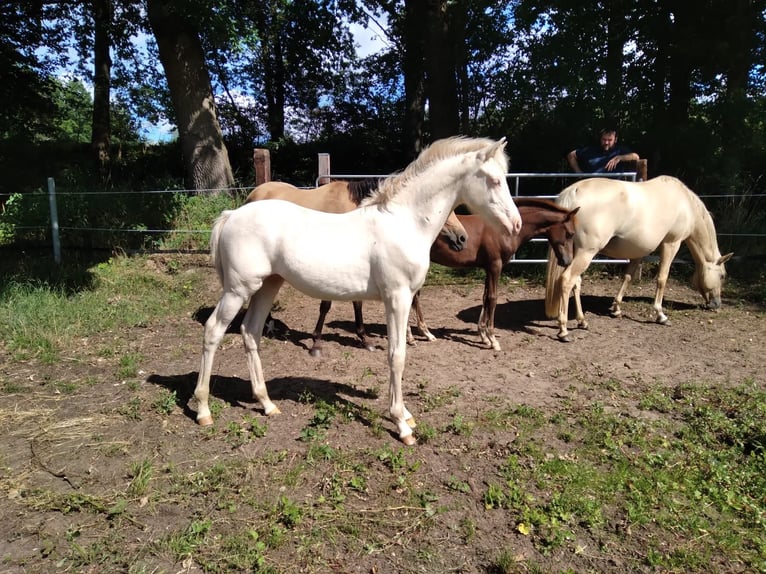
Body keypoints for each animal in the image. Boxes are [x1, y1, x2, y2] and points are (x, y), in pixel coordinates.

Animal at [244, 180, 468, 360]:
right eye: (445, 210)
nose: (462, 238)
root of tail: (254, 193)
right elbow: (326, 305)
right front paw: (316, 343)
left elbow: (358, 303)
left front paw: (364, 338)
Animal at [412, 198, 580, 352]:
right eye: (570, 234)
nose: (567, 261)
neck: (502, 230)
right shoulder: (495, 266)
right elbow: (493, 299)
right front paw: (493, 340)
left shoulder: (488, 268)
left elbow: (485, 297)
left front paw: (484, 336)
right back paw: (419, 335)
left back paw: (421, 334)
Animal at [544, 177, 736, 342]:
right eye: (722, 276)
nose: (716, 304)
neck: (685, 204)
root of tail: (574, 191)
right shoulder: (671, 244)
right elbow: (662, 279)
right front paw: (661, 315)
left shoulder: (639, 252)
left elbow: (627, 278)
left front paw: (616, 309)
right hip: (586, 252)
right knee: (567, 280)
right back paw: (563, 330)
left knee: (576, 283)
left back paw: (582, 321)